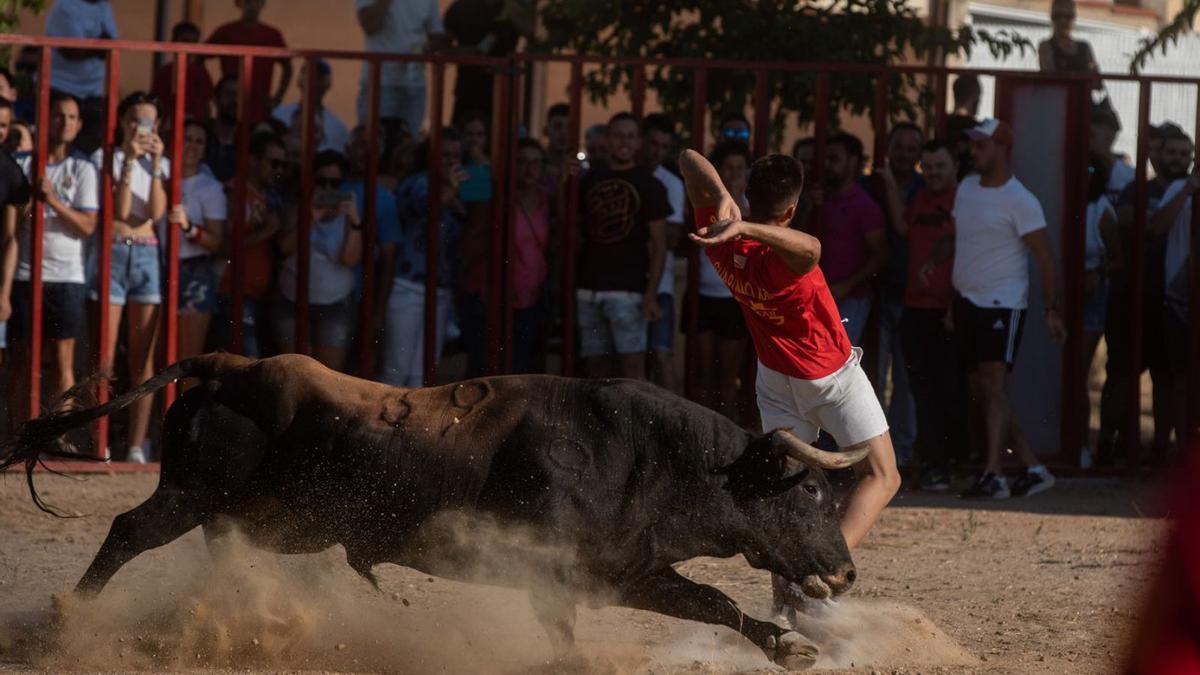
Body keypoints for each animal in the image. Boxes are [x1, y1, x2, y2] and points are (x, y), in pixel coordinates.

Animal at [0, 353, 868, 667]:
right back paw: (67, 623)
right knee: (126, 532)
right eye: (812, 490)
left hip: (241, 514)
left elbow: (712, 598)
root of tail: (228, 367)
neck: (643, 451)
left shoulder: (627, 571)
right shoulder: (560, 572)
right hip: (188, 494)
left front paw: (786, 645)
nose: (848, 570)